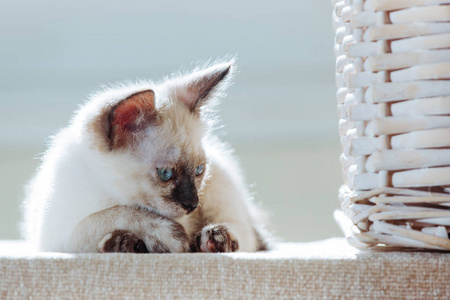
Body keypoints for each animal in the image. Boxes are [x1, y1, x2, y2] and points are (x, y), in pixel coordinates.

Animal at [22, 61, 268, 253]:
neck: (111, 194)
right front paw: (166, 237)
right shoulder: (57, 238)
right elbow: (109, 216)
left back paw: (214, 239)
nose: (192, 205)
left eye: (199, 170)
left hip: (221, 189)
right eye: (165, 174)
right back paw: (122, 244)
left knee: (248, 237)